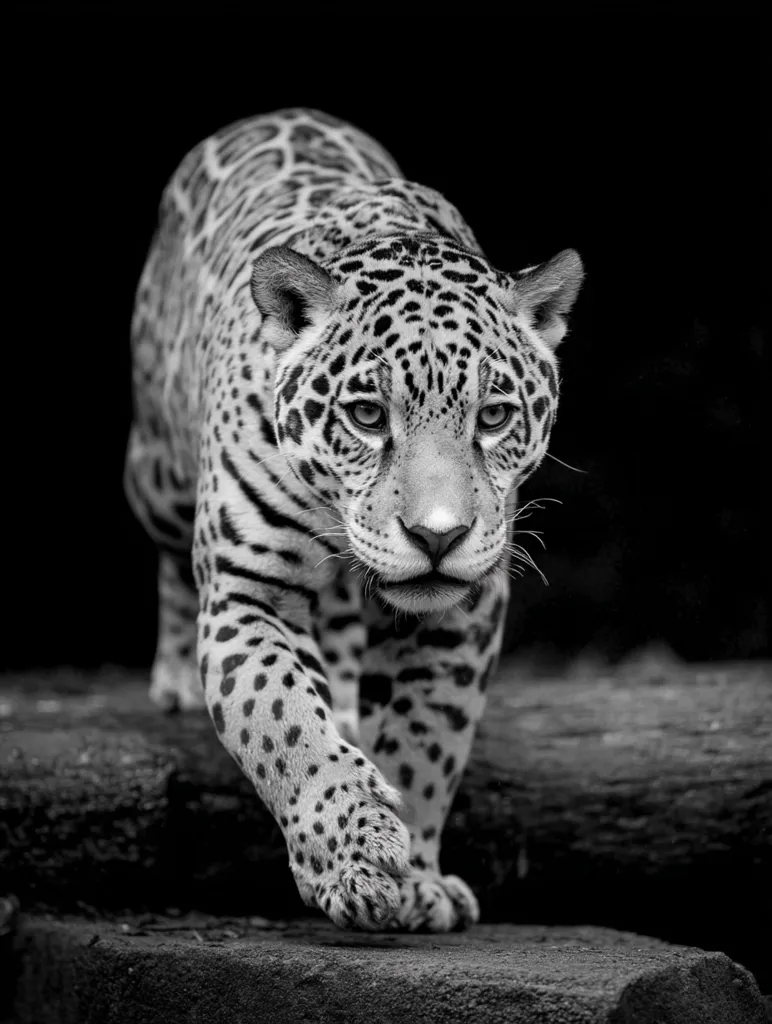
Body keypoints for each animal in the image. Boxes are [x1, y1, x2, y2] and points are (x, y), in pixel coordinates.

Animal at [125, 107, 584, 933]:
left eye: (494, 417)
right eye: (368, 416)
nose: (438, 537)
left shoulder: (466, 611)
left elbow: (430, 739)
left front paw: (418, 877)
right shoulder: (249, 591)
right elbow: (281, 718)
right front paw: (354, 853)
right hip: (156, 473)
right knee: (173, 558)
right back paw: (174, 672)